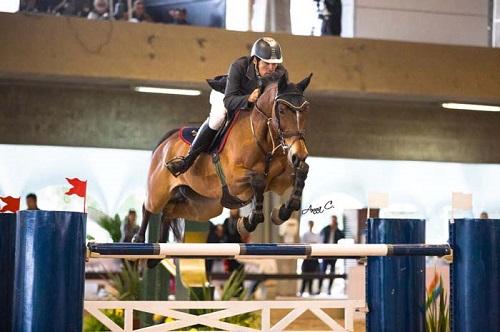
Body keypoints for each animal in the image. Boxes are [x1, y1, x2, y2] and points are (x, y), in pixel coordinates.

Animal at [133, 72, 312, 249]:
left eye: (305, 110)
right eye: (281, 110)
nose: (299, 154)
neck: (263, 140)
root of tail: (166, 141)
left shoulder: (278, 181)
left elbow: (302, 171)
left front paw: (281, 212)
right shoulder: (234, 181)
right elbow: (259, 180)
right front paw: (248, 221)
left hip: (204, 205)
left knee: (169, 212)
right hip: (159, 191)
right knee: (148, 207)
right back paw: (138, 239)